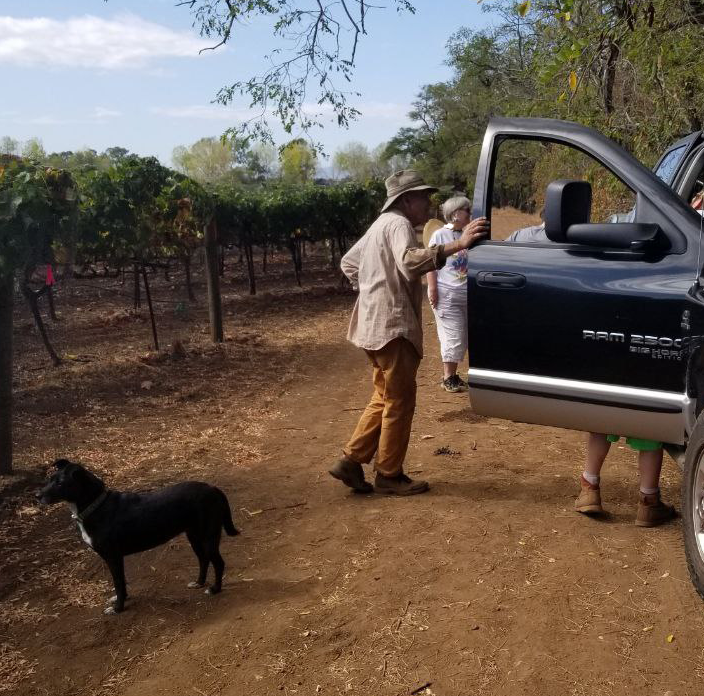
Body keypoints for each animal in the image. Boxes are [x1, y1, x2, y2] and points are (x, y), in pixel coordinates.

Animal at [35, 462, 239, 616]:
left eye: (60, 483)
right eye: (50, 479)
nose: (36, 495)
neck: (96, 506)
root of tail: (214, 489)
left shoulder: (112, 557)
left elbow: (118, 583)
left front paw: (118, 608)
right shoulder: (117, 558)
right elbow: (122, 582)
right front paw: (122, 600)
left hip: (209, 537)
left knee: (218, 562)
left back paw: (215, 589)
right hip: (194, 536)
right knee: (203, 559)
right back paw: (199, 582)